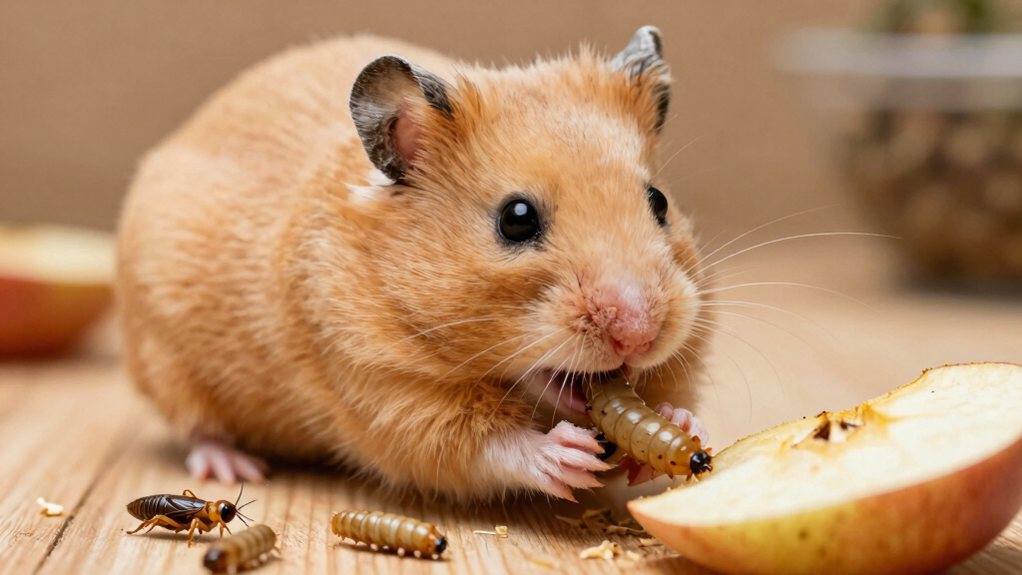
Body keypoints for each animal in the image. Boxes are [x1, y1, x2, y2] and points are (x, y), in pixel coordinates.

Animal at [116, 26, 712, 501]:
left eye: (658, 201)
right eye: (516, 219)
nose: (639, 334)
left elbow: (677, 397)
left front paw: (681, 426)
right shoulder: (381, 386)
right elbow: (482, 445)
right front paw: (568, 455)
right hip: (167, 361)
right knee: (198, 428)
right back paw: (236, 466)